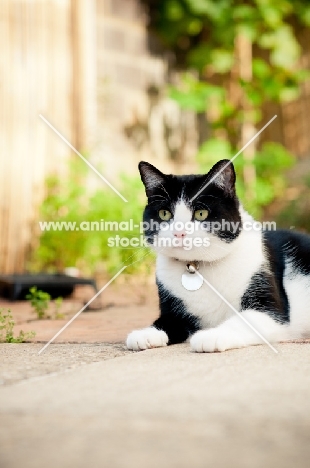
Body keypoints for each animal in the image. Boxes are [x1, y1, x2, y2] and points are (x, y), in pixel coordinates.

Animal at [126, 159, 310, 352]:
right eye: (164, 213)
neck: (198, 266)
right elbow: (166, 322)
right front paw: (145, 334)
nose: (179, 233)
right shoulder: (172, 310)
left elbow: (240, 321)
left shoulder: (270, 311)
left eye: (201, 213)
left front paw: (210, 336)